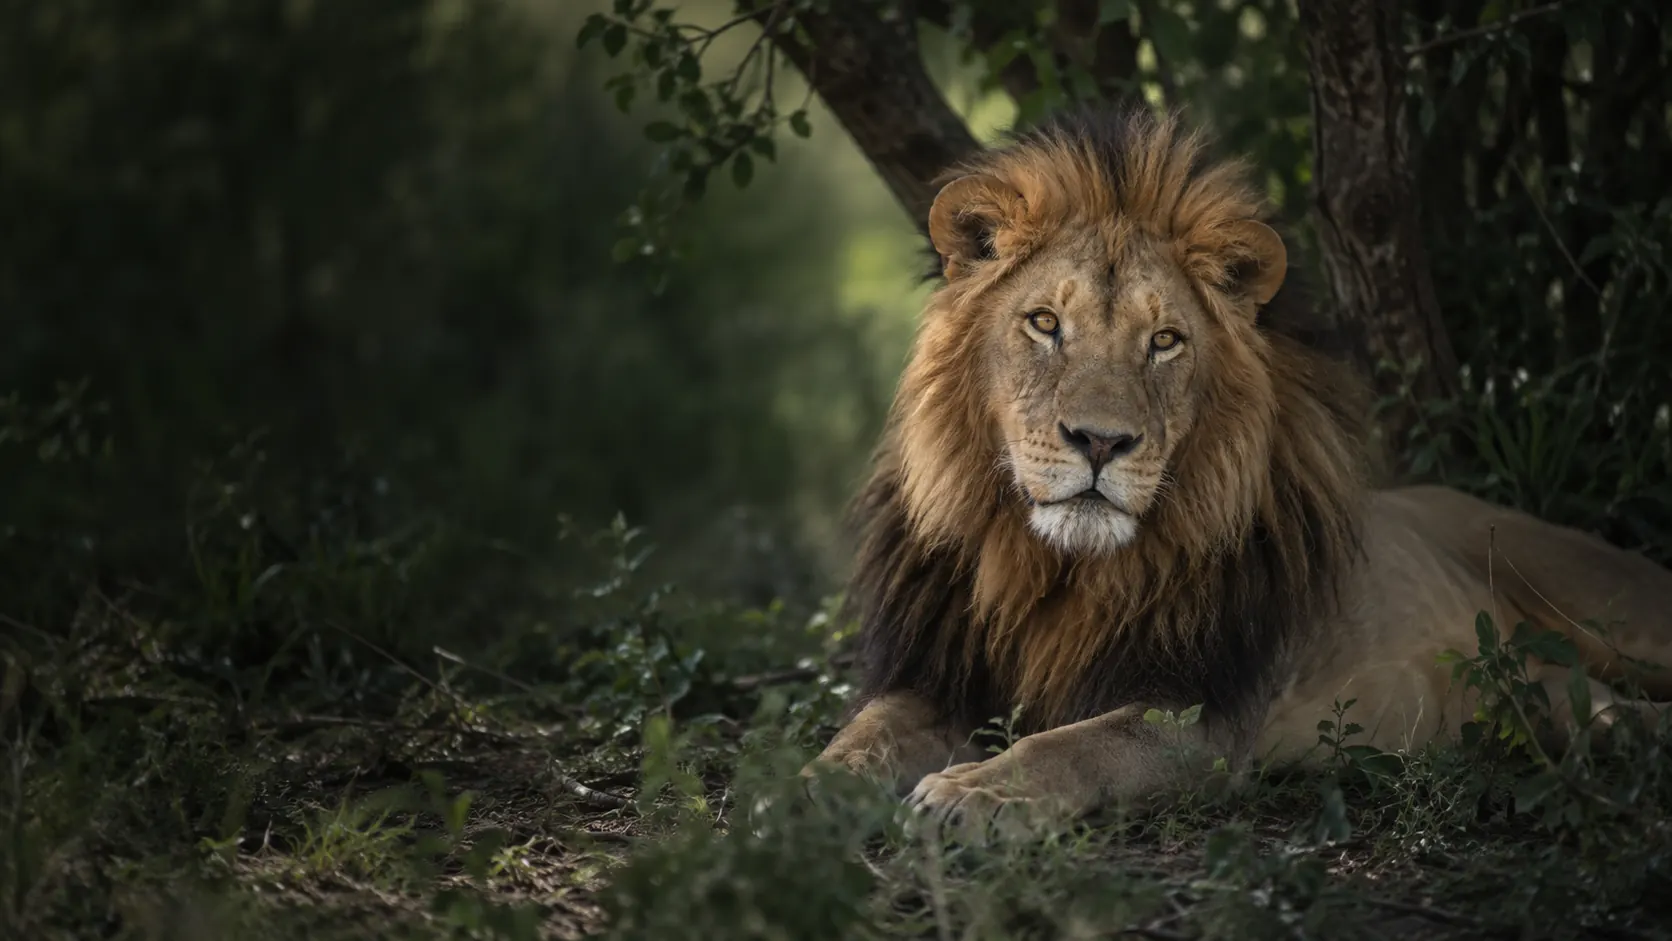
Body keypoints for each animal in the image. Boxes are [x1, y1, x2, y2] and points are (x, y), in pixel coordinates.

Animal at [801, 106, 1672, 843]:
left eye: (1164, 341)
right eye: (1044, 323)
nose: (1100, 441)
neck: (1055, 570)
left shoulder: (1201, 715)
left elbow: (1069, 745)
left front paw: (975, 791)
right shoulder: (940, 674)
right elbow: (863, 733)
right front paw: (802, 789)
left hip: (1607, 608)